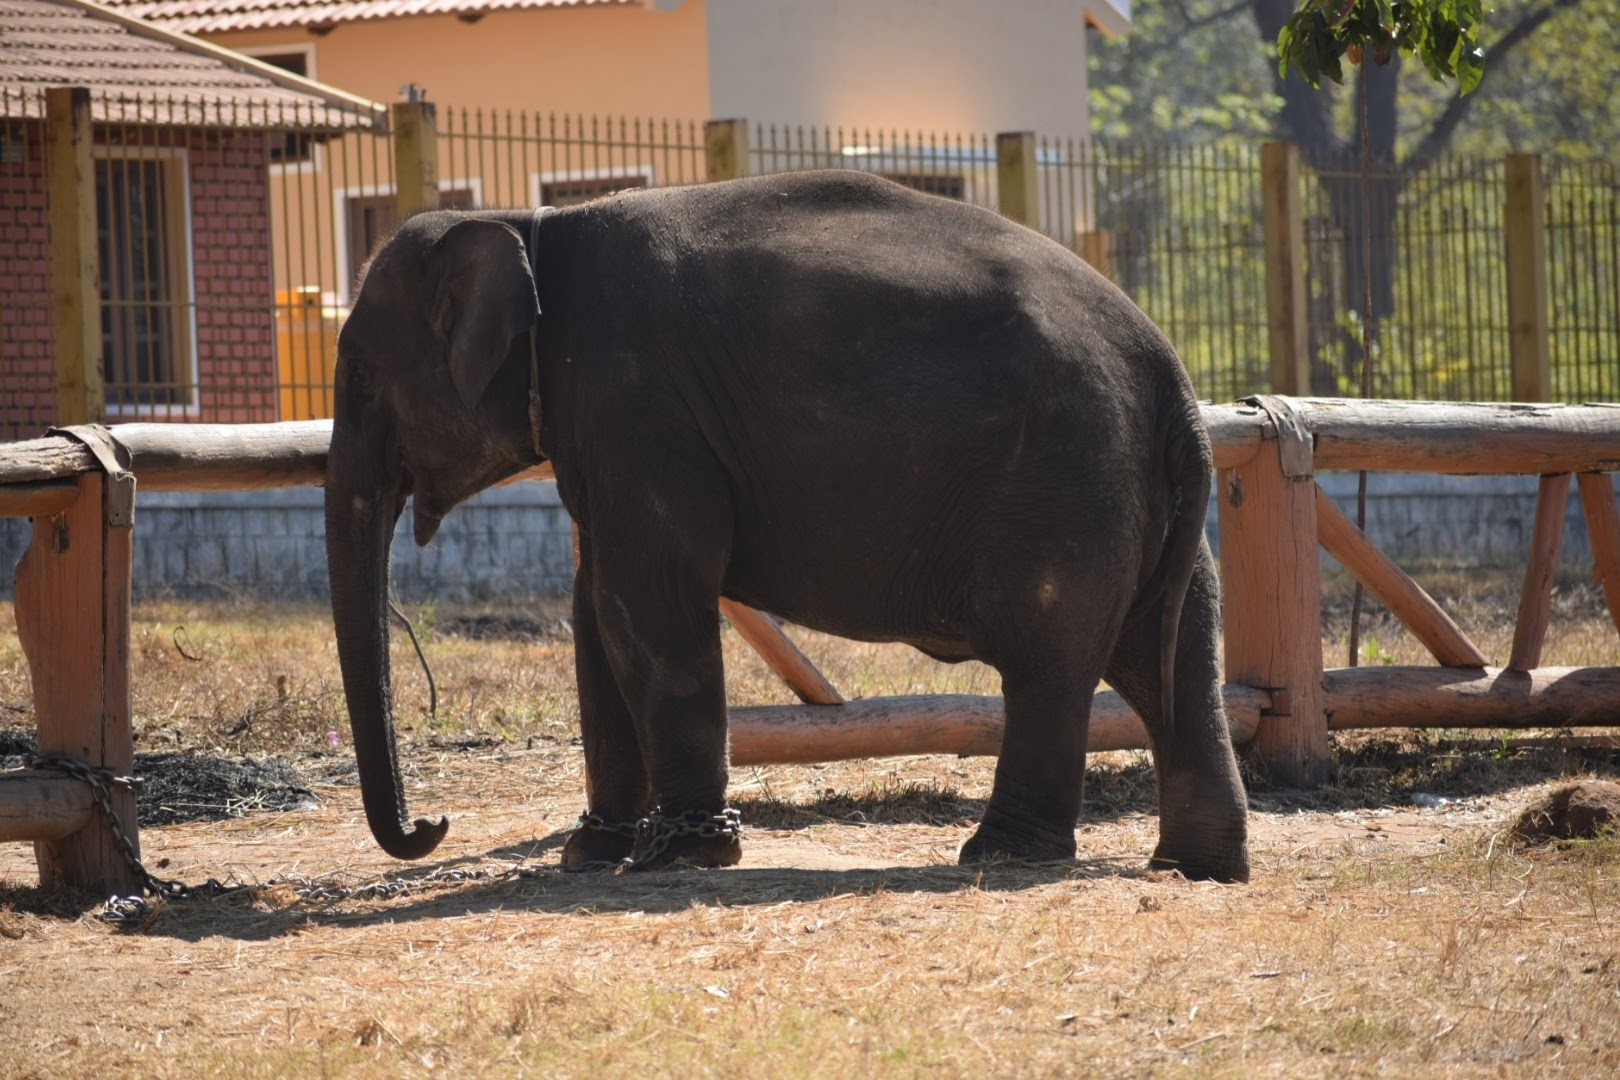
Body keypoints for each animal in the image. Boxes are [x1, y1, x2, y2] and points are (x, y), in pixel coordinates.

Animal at [325, 169, 1251, 883]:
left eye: (362, 373)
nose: (433, 826)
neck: (528, 227)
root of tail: (1172, 375)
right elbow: (596, 611)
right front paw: (593, 854)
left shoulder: (638, 404)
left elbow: (649, 605)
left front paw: (684, 856)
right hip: (1139, 499)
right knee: (1170, 657)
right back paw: (1195, 865)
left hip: (1064, 484)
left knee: (1049, 662)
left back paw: (1001, 855)